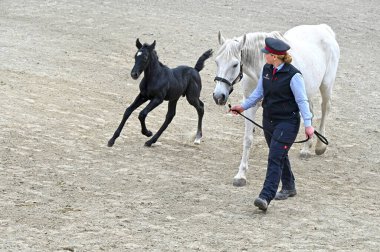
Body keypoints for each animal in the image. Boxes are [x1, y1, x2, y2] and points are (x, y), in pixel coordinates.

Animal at [212, 24, 340, 187]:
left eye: (235, 64)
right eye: (217, 62)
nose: (218, 96)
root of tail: (323, 28)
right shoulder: (250, 105)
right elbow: (248, 139)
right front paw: (241, 175)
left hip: (326, 85)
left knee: (325, 109)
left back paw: (319, 147)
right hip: (307, 91)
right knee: (309, 112)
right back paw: (306, 148)